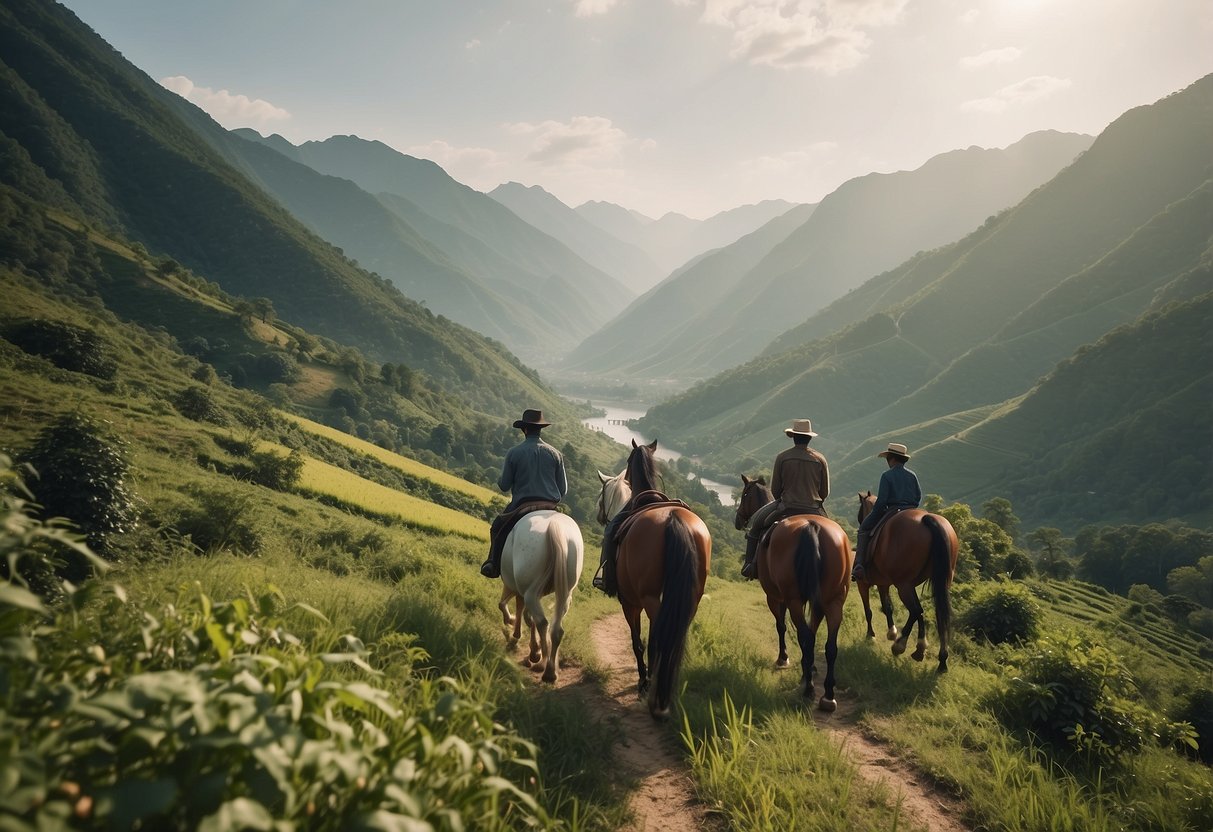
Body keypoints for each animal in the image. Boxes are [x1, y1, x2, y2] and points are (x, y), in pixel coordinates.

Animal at [494, 514, 584, 684]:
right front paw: (535, 649)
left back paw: (543, 667)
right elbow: (527, 615)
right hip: (564, 594)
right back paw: (549, 670)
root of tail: (555, 526)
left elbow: (506, 605)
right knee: (555, 629)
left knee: (543, 623)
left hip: (530, 592)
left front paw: (515, 631)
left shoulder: (513, 585)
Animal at [596, 439, 708, 717]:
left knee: (659, 641)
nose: (600, 515)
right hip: (691, 600)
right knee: (675, 638)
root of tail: (675, 520)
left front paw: (642, 681)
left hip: (649, 599)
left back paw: (655, 694)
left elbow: (637, 642)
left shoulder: (630, 603)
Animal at [727, 475, 853, 708]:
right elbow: (813, 632)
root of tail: (812, 527)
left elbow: (781, 626)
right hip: (834, 600)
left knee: (805, 637)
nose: (738, 520)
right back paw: (827, 695)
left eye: (745, 494)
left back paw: (809, 688)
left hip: (794, 600)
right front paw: (810, 668)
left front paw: (784, 658)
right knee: (829, 645)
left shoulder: (775, 597)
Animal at [853, 492, 955, 674]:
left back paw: (899, 646)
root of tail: (927, 518)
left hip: (903, 585)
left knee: (915, 610)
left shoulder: (863, 584)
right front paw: (896, 633)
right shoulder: (886, 583)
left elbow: (869, 610)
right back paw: (938, 658)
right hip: (936, 583)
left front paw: (872, 635)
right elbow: (889, 607)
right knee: (935, 613)